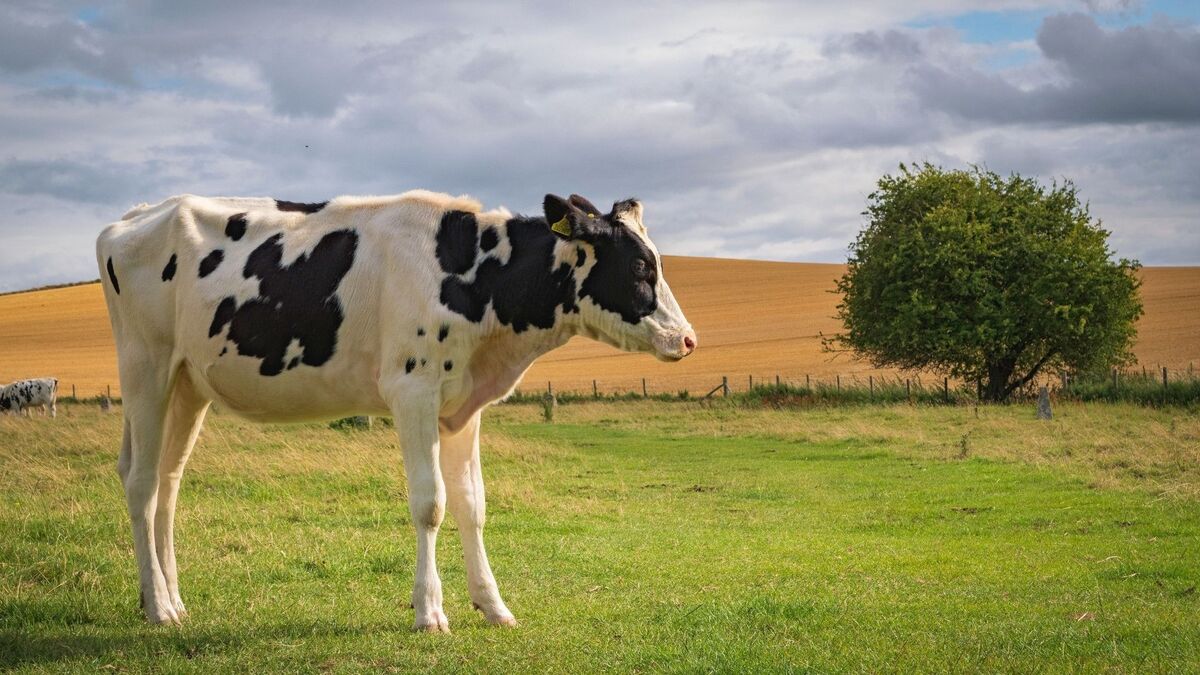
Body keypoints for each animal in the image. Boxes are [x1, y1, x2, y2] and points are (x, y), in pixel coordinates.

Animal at [98, 189, 700, 629]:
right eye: (641, 268)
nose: (688, 340)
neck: (474, 276)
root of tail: (136, 215)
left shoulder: (463, 406)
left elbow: (472, 505)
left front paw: (493, 605)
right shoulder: (413, 391)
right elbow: (430, 505)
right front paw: (430, 611)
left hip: (187, 383)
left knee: (168, 480)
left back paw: (173, 599)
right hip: (145, 367)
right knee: (141, 483)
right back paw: (158, 606)